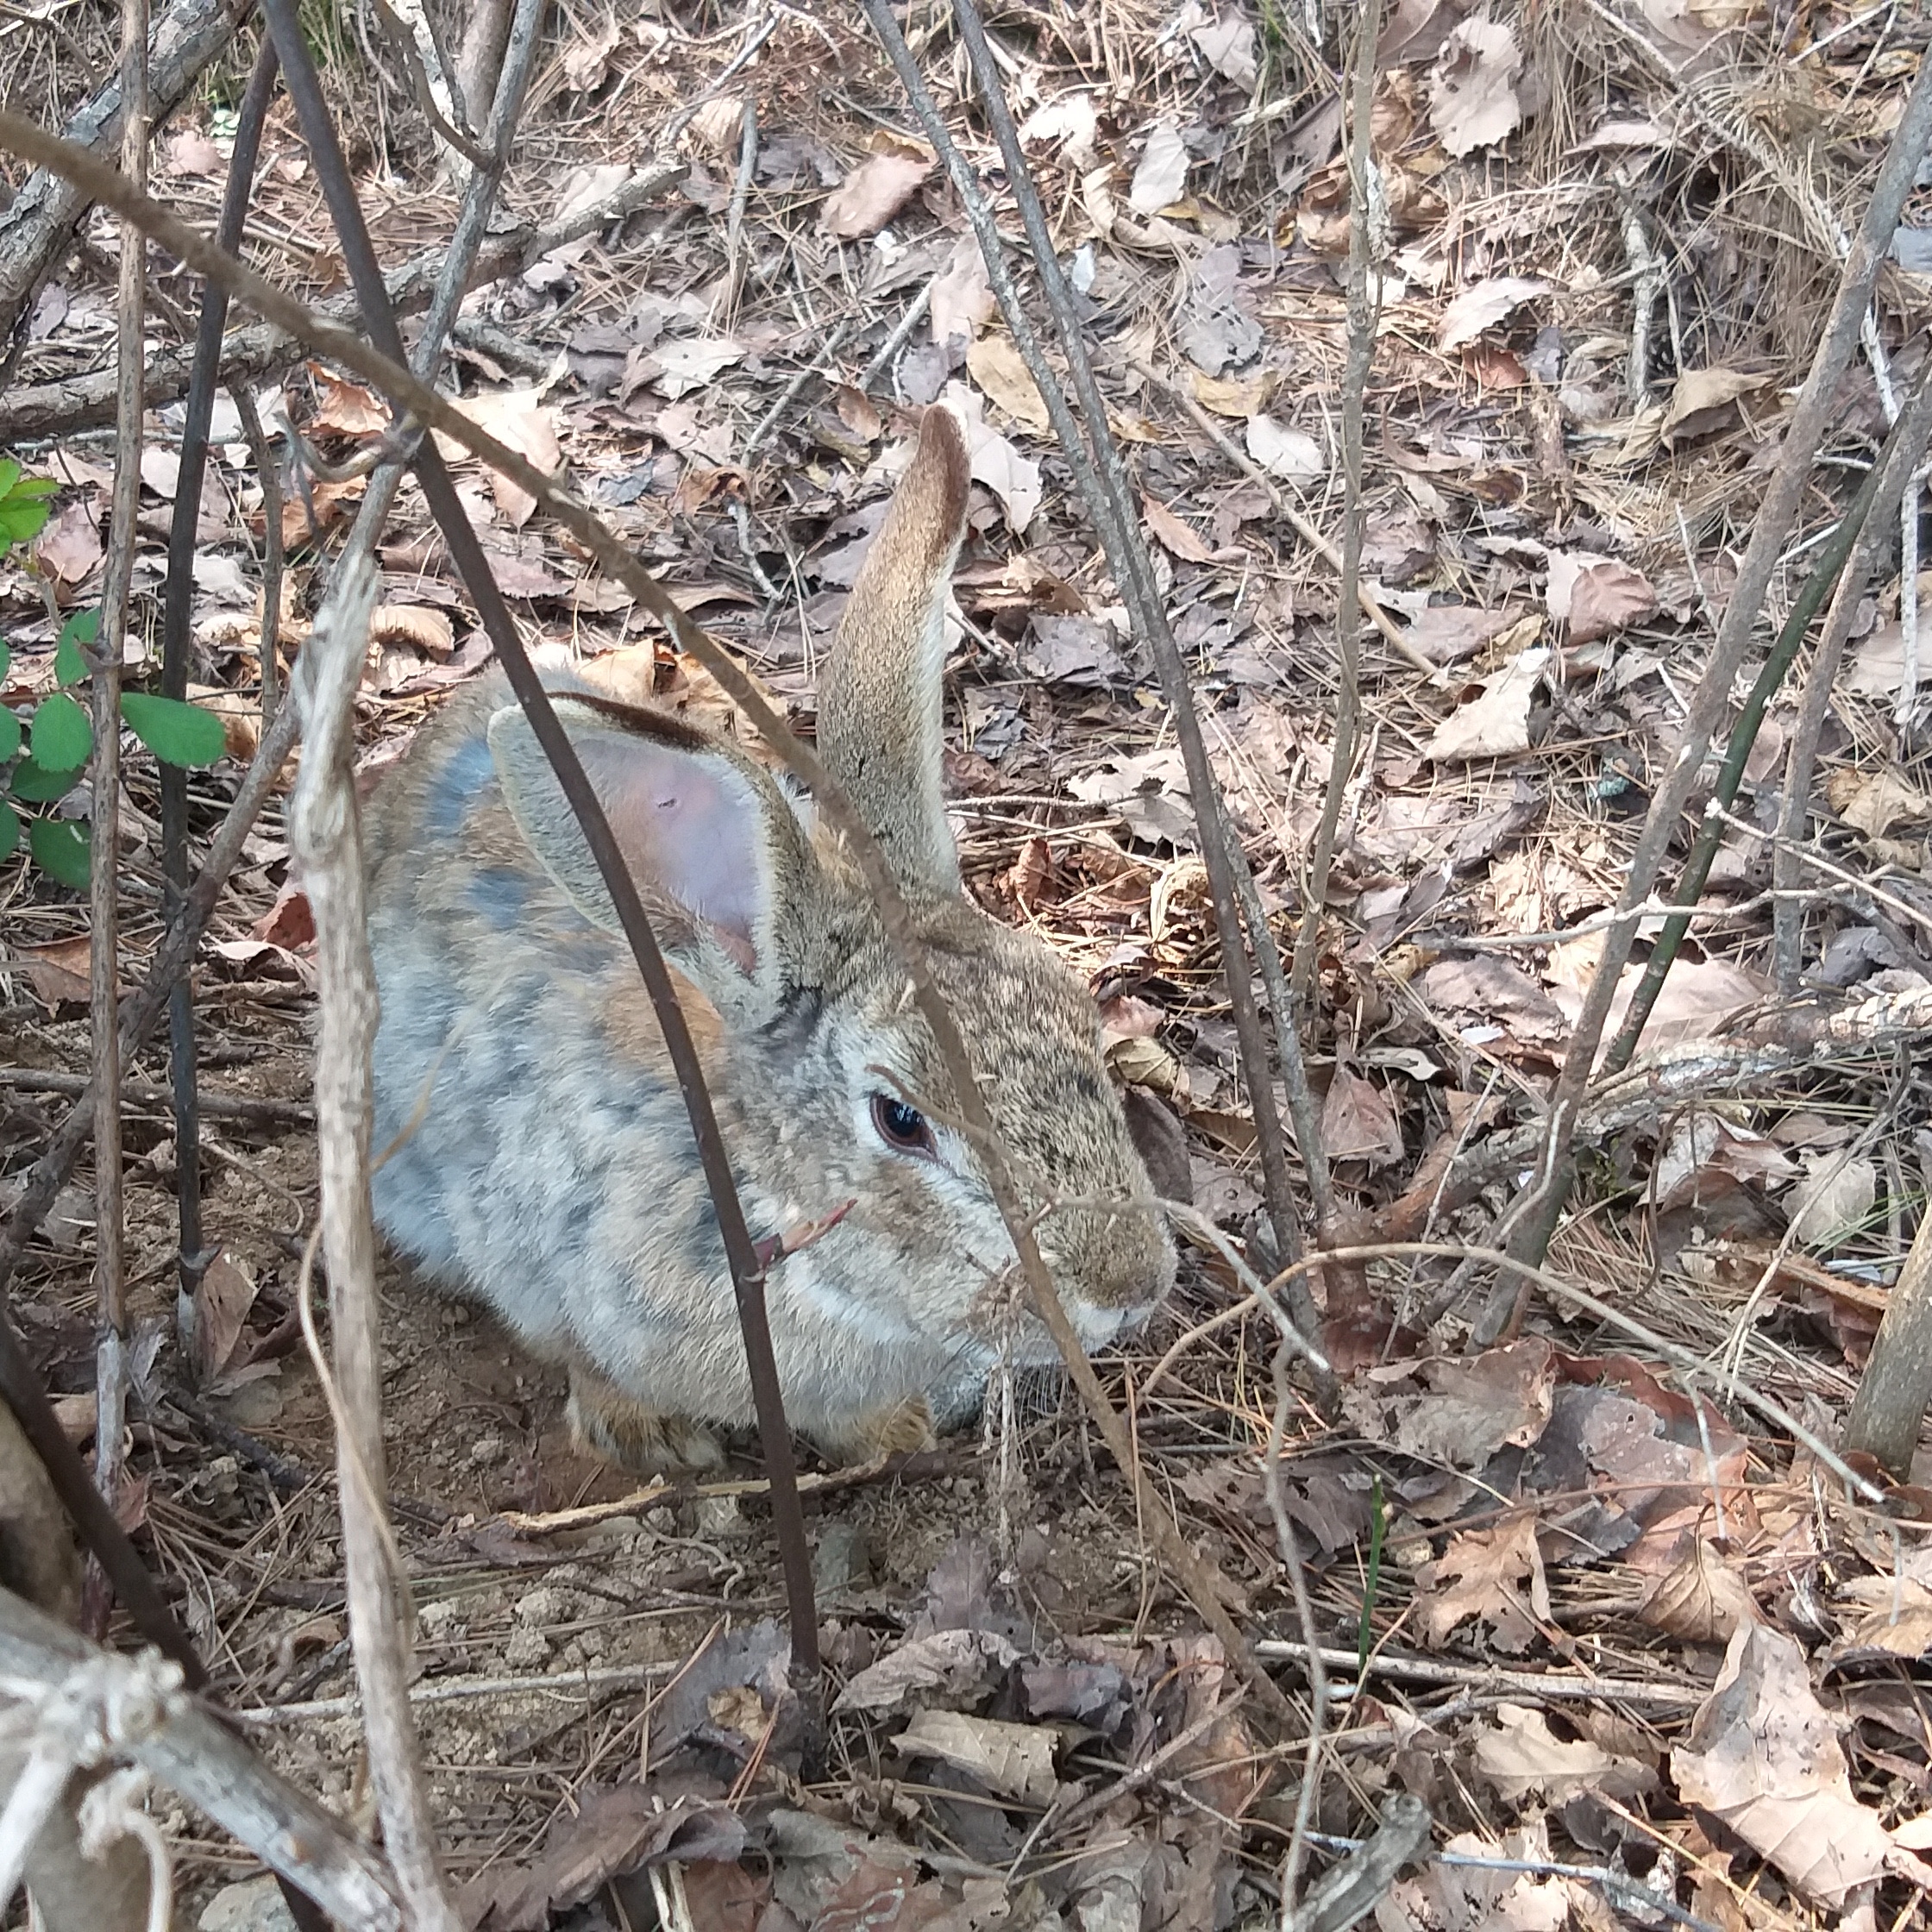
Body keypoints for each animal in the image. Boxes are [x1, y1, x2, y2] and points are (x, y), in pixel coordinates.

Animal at [360, 403, 1177, 1474]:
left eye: (1077, 1010)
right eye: (899, 1119)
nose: (1129, 1287)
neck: (768, 1197)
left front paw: (892, 1426)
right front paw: (650, 1432)